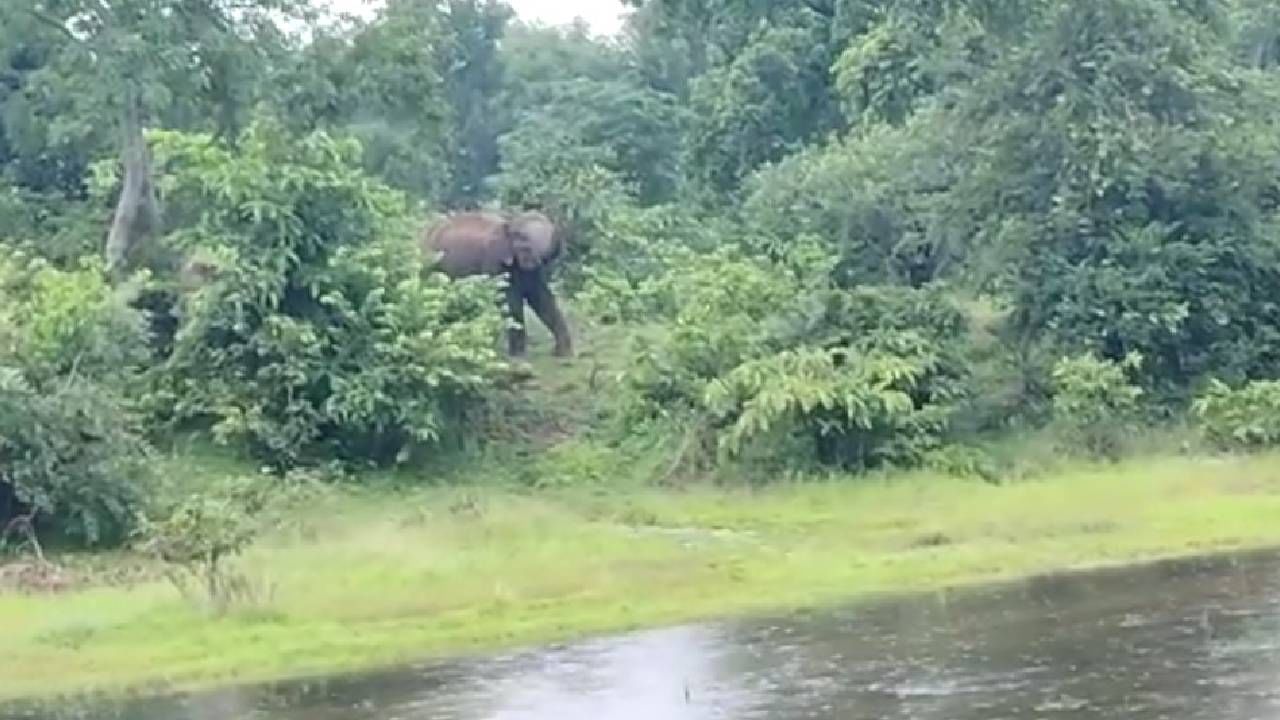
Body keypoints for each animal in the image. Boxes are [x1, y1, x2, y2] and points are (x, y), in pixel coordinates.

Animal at [422, 208, 573, 356]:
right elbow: (507, 299)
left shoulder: (534, 272)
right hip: (432, 262)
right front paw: (518, 355)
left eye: (547, 253)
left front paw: (563, 353)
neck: (510, 222)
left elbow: (541, 298)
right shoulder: (495, 259)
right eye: (524, 244)